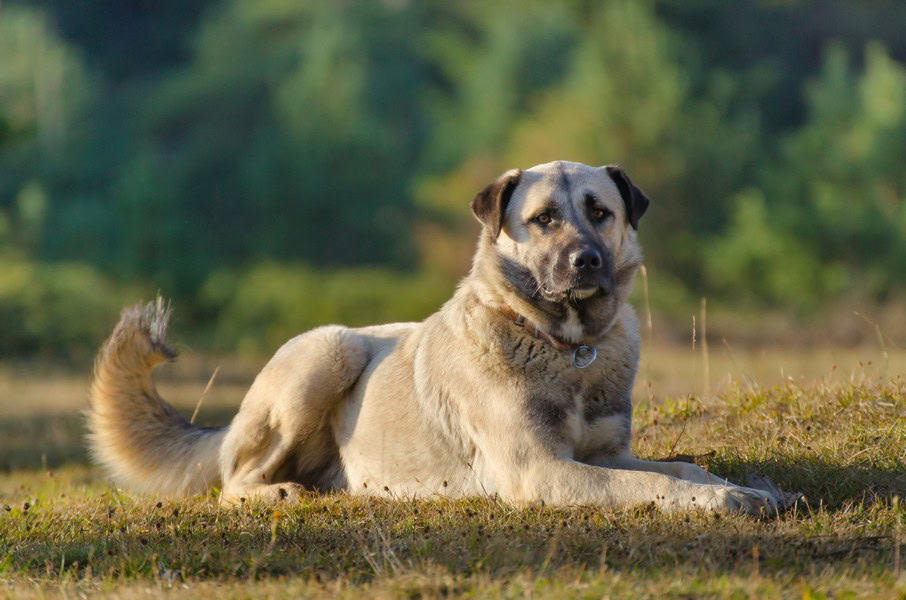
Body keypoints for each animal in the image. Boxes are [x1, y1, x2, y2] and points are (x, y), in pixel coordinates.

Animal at [87, 160, 779, 514]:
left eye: (600, 212)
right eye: (544, 220)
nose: (585, 262)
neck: (564, 346)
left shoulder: (602, 455)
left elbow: (682, 467)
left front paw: (748, 488)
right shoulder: (542, 471)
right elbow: (654, 486)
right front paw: (725, 500)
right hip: (328, 352)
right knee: (232, 480)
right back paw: (275, 492)